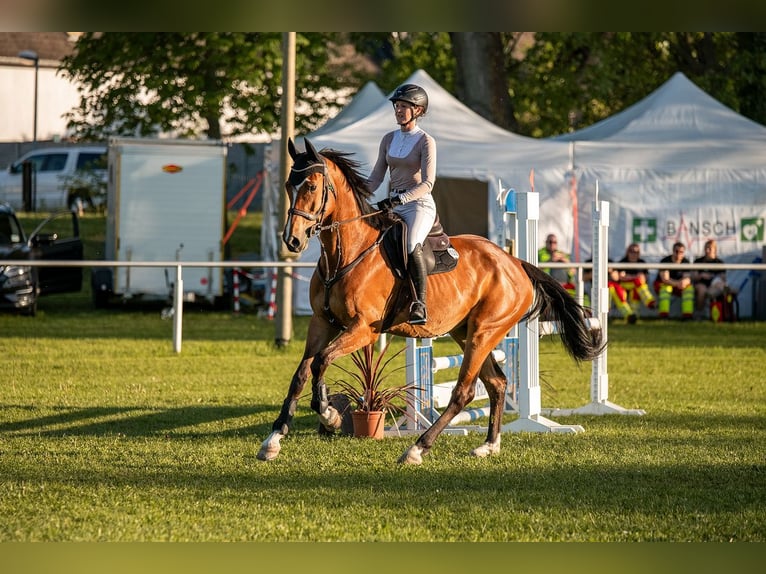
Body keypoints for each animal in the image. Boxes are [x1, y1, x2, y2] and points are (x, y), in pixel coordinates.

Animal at [257, 137, 605, 465]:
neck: (345, 253)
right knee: (496, 382)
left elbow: (321, 361)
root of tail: (514, 262)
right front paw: (273, 439)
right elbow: (302, 373)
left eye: (312, 186)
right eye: (288, 185)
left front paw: (329, 415)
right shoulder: (321, 323)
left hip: (484, 333)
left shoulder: (363, 330)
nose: (292, 240)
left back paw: (417, 448)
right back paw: (488, 445)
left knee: (464, 391)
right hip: (466, 332)